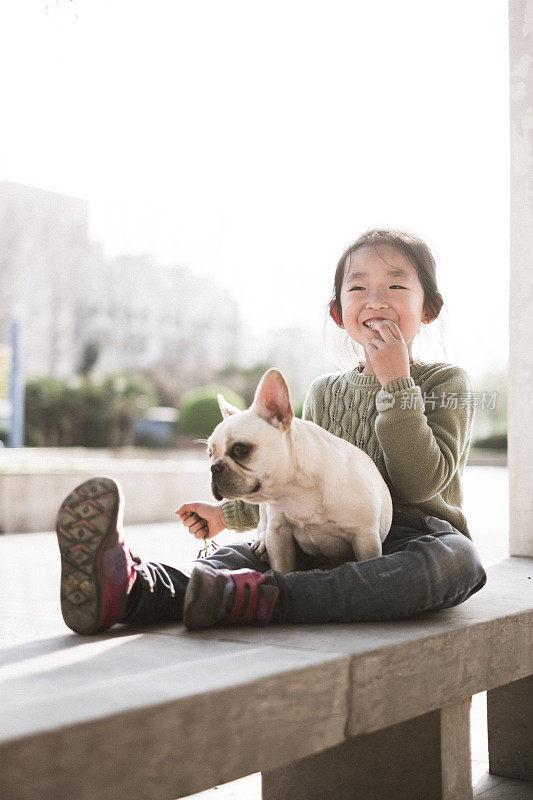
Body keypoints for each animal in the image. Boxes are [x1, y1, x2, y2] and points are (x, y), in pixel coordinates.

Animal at [208, 368, 390, 576]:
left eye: (239, 449)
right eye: (210, 453)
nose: (214, 468)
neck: (297, 490)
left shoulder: (365, 538)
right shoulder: (279, 535)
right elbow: (282, 568)